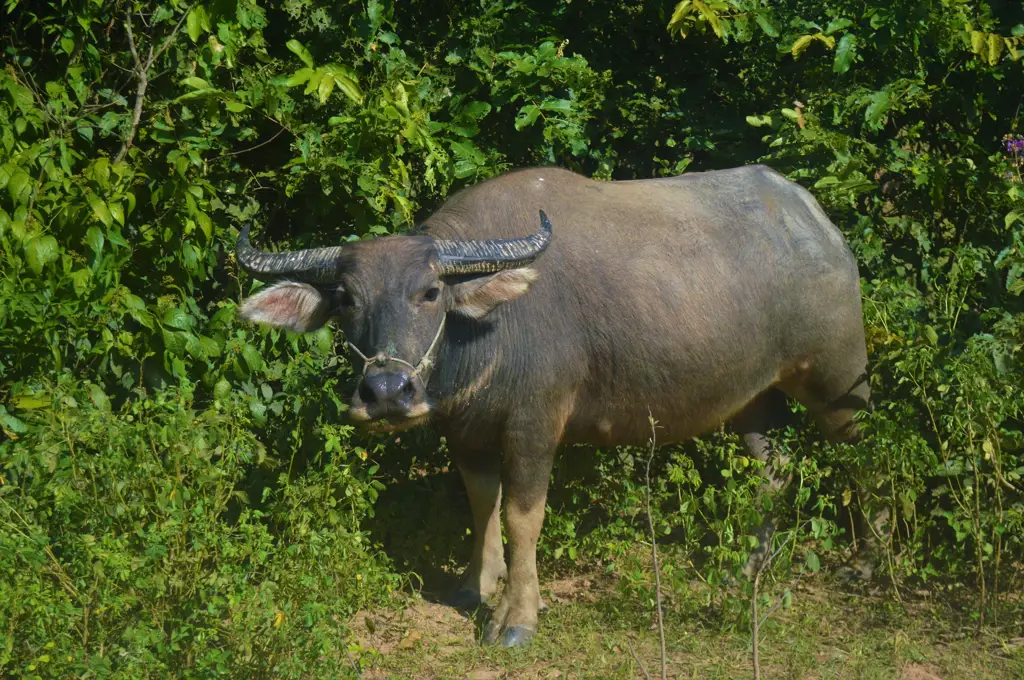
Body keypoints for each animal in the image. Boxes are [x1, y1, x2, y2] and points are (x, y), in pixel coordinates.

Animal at [234, 164, 872, 647]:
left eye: (430, 291)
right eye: (346, 299)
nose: (387, 392)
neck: (492, 326)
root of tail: (816, 221)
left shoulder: (535, 424)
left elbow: (523, 516)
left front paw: (516, 617)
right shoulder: (465, 430)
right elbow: (481, 502)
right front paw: (476, 584)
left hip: (842, 380)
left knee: (863, 457)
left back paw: (867, 565)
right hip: (756, 402)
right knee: (773, 472)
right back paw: (747, 572)